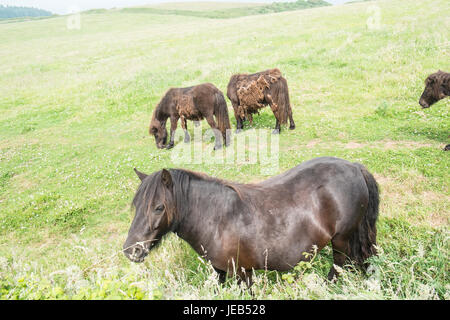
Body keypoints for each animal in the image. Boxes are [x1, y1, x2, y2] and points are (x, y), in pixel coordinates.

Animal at [123, 158, 380, 284]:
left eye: (158, 208)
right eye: (135, 206)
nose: (131, 250)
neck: (216, 219)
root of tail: (354, 167)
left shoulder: (242, 272)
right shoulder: (220, 271)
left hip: (342, 241)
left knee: (340, 267)